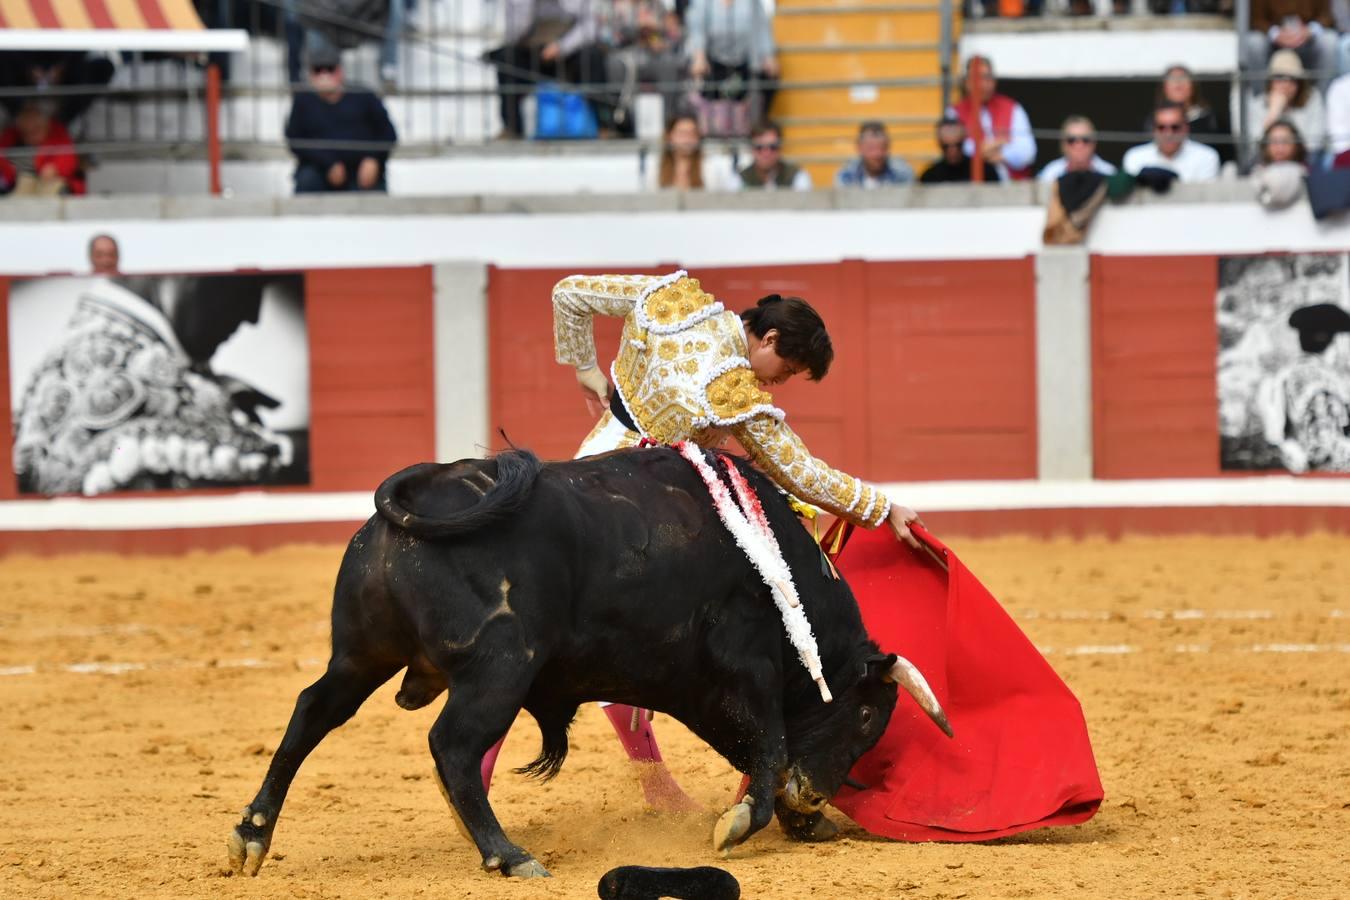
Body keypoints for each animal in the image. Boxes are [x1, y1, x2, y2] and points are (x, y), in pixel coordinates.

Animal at [229, 447, 950, 879]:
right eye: (866, 717)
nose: (816, 795)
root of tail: (426, 490)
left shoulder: (697, 686)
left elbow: (755, 748)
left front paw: (796, 820)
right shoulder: (745, 662)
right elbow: (770, 740)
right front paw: (745, 824)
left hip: (360, 654)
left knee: (312, 712)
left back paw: (251, 837)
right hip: (500, 667)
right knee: (452, 745)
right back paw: (508, 855)